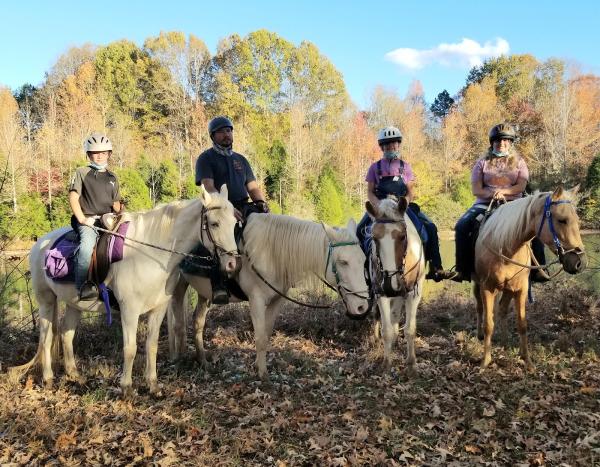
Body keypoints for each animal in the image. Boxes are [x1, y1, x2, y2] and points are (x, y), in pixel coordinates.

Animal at [11, 186, 237, 394]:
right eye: (214, 223)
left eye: (235, 223)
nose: (232, 263)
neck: (150, 254)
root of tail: (40, 243)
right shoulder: (129, 310)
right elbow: (130, 348)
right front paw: (126, 387)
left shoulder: (159, 308)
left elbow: (151, 345)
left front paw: (152, 385)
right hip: (46, 300)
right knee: (46, 337)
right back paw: (48, 378)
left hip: (74, 303)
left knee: (66, 334)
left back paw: (74, 374)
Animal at [168, 215, 370, 380]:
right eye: (343, 262)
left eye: (363, 260)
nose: (362, 307)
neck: (270, 253)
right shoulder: (256, 301)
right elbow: (259, 338)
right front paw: (263, 375)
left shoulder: (275, 301)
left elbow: (266, 334)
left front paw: (258, 365)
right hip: (177, 285)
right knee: (177, 323)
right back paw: (178, 358)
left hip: (204, 294)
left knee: (197, 322)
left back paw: (202, 361)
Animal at [366, 197, 426, 376]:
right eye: (374, 238)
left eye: (402, 237)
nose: (390, 284)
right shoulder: (382, 295)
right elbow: (386, 331)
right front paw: (387, 363)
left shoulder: (413, 294)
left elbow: (410, 329)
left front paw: (411, 364)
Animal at [474, 186, 584, 370]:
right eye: (562, 220)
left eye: (578, 220)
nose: (579, 262)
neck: (505, 245)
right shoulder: (487, 287)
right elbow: (489, 324)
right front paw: (485, 361)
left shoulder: (521, 289)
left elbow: (522, 324)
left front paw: (527, 361)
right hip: (478, 285)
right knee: (480, 308)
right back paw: (481, 335)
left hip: (509, 289)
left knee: (502, 309)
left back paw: (504, 342)